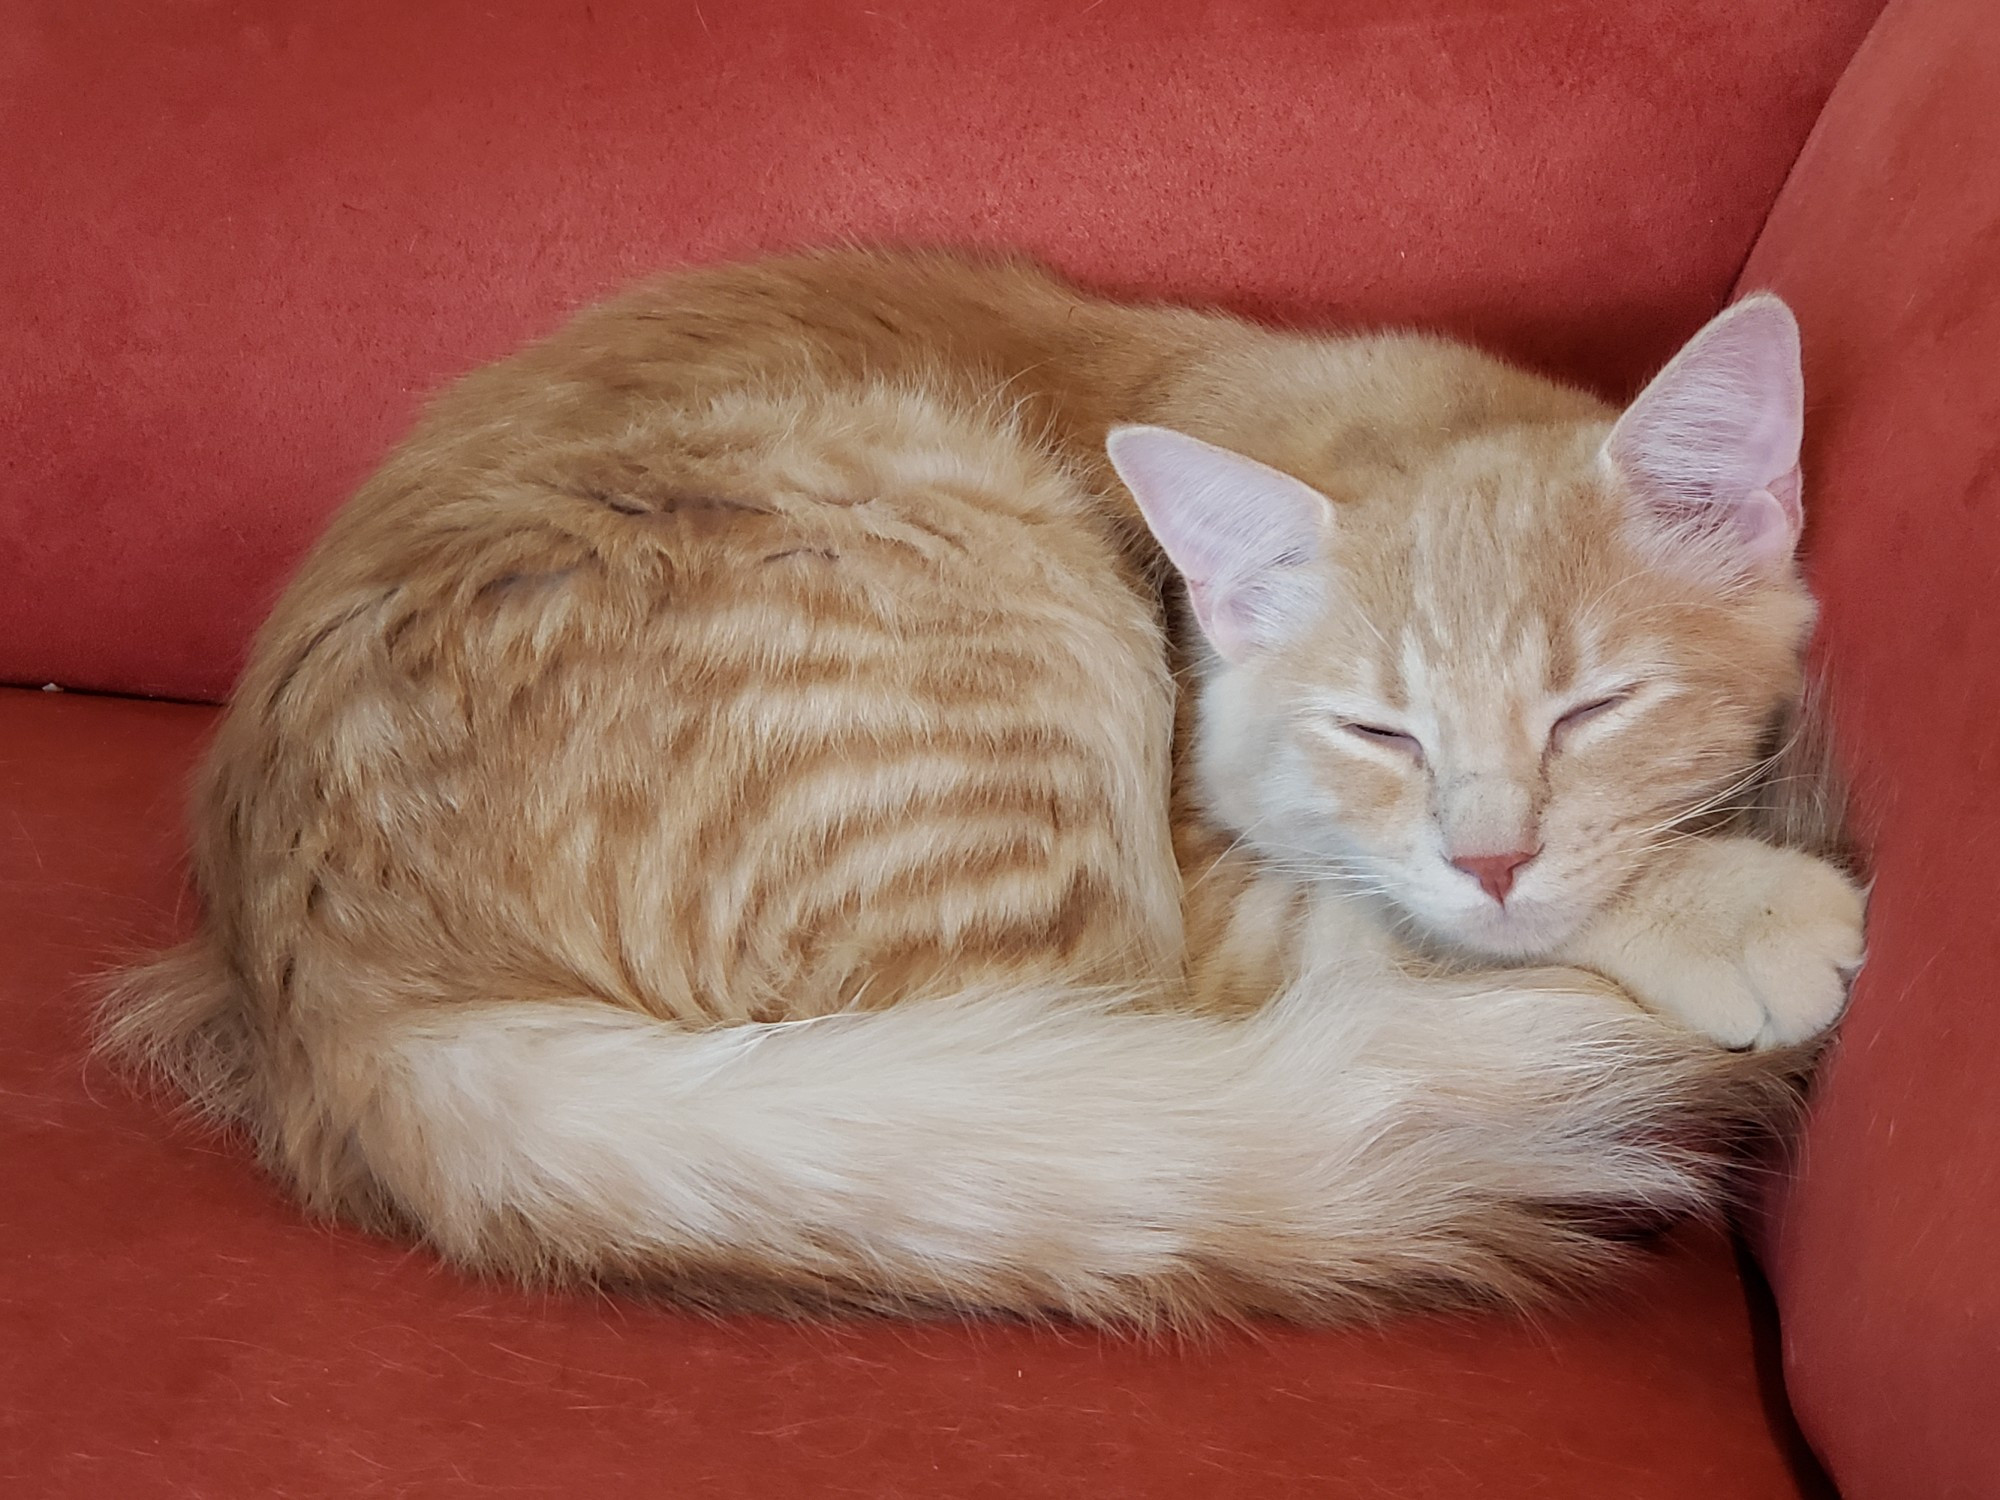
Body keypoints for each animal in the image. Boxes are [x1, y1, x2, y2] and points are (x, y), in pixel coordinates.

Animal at [101, 253, 1864, 1336]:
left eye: (1594, 707)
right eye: (1381, 733)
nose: (1491, 855)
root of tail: (320, 999)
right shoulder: (1230, 898)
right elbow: (1401, 925)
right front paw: (1732, 902)